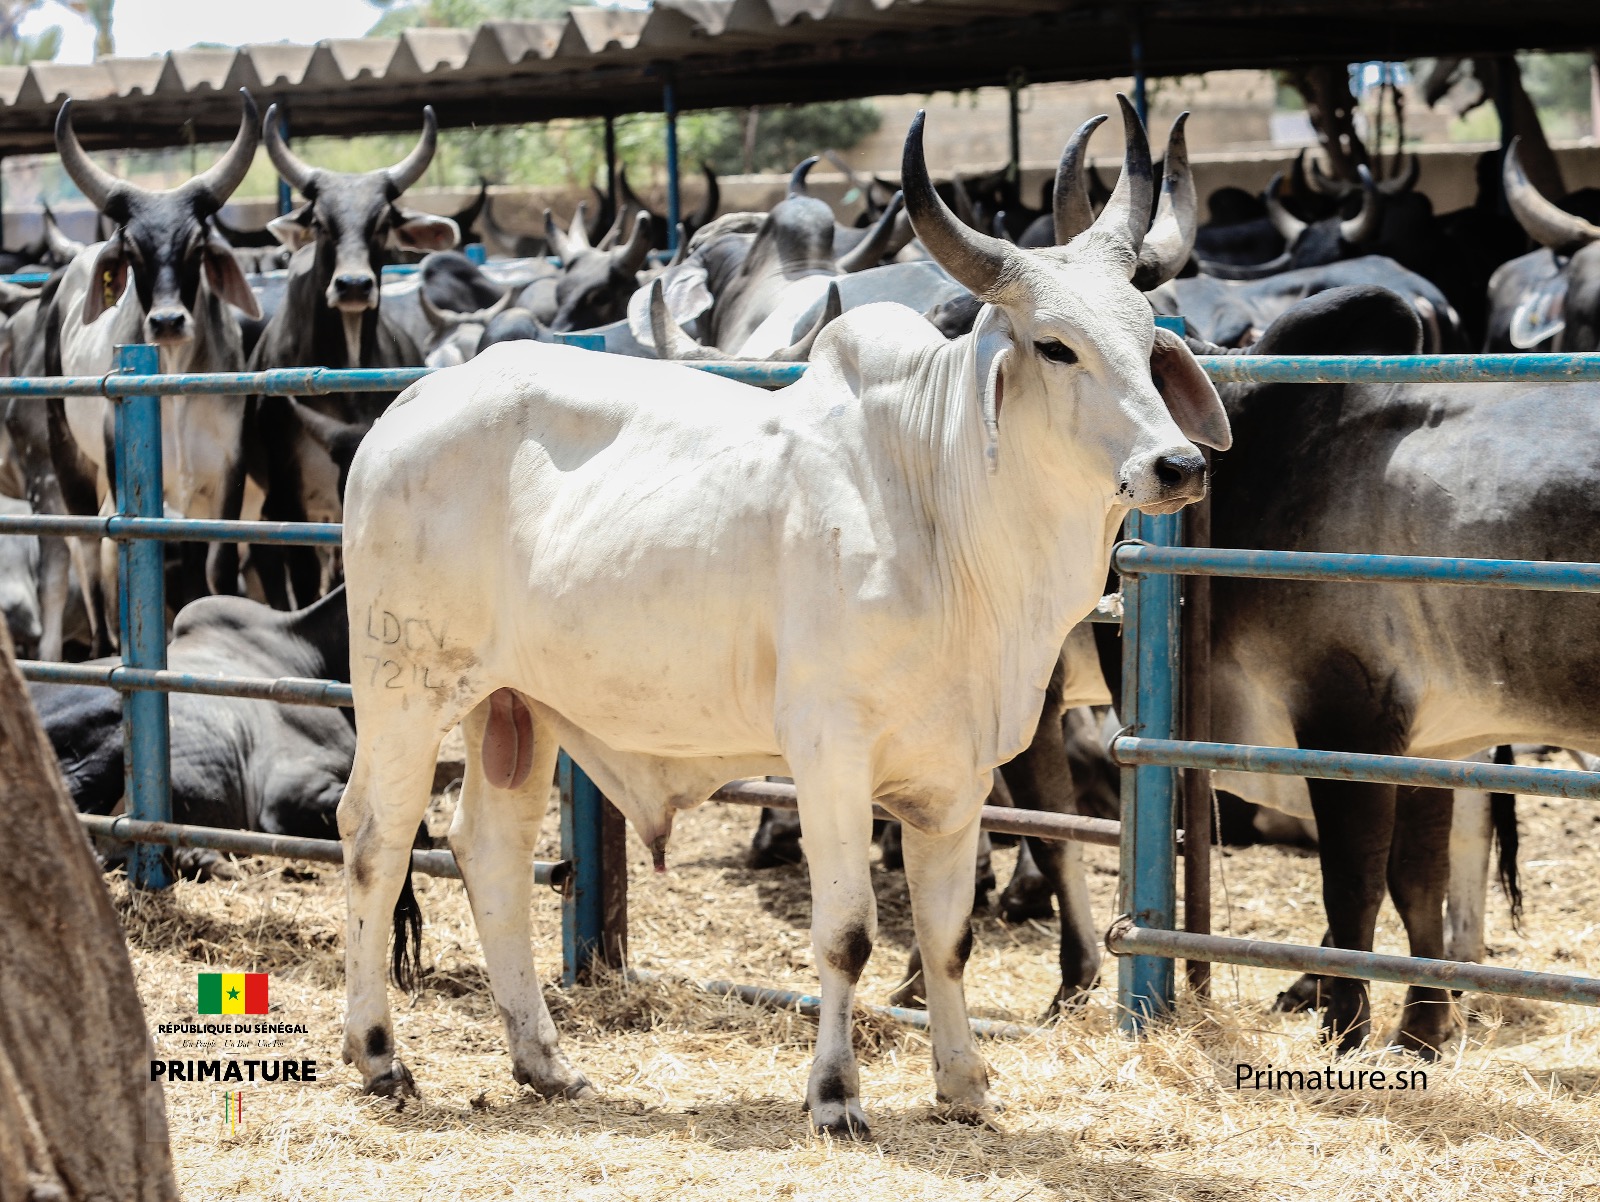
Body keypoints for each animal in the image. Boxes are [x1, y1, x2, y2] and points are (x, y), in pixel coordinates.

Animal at [331, 96, 1228, 1139]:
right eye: (1055, 344)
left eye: (1147, 333)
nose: (1176, 464)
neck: (941, 508)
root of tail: (413, 400)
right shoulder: (829, 752)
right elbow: (847, 934)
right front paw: (835, 1096)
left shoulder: (958, 772)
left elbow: (947, 936)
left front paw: (964, 1085)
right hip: (405, 684)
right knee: (376, 835)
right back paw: (379, 1054)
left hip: (514, 705)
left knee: (491, 850)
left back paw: (544, 1061)